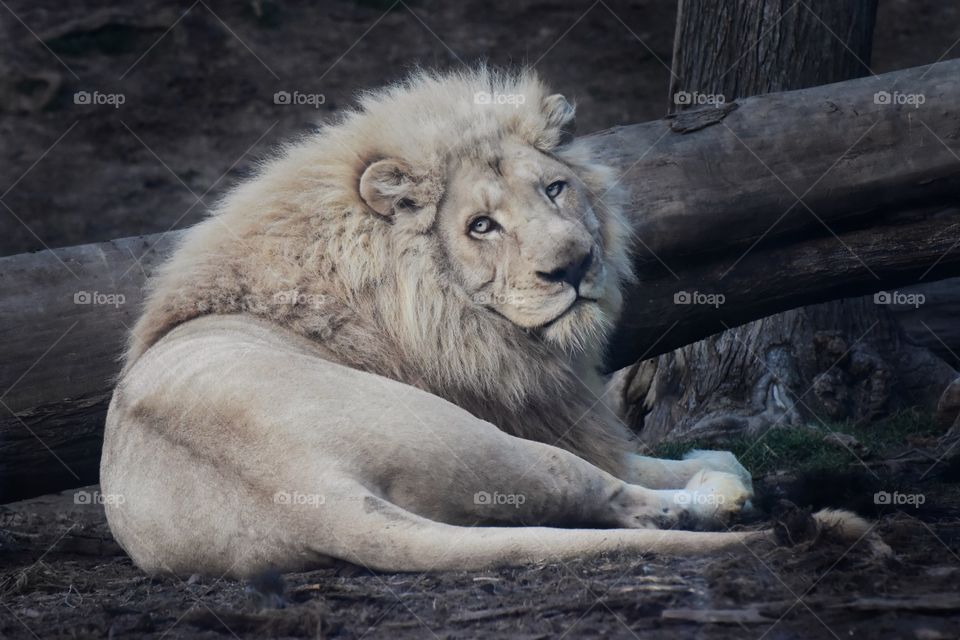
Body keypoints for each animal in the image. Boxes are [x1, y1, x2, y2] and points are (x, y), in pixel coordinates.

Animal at [101, 68, 869, 576]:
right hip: (480, 437)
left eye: (555, 189)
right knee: (620, 501)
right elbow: (672, 461)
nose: (574, 265)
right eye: (481, 226)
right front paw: (721, 471)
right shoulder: (544, 416)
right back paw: (720, 502)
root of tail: (309, 495)